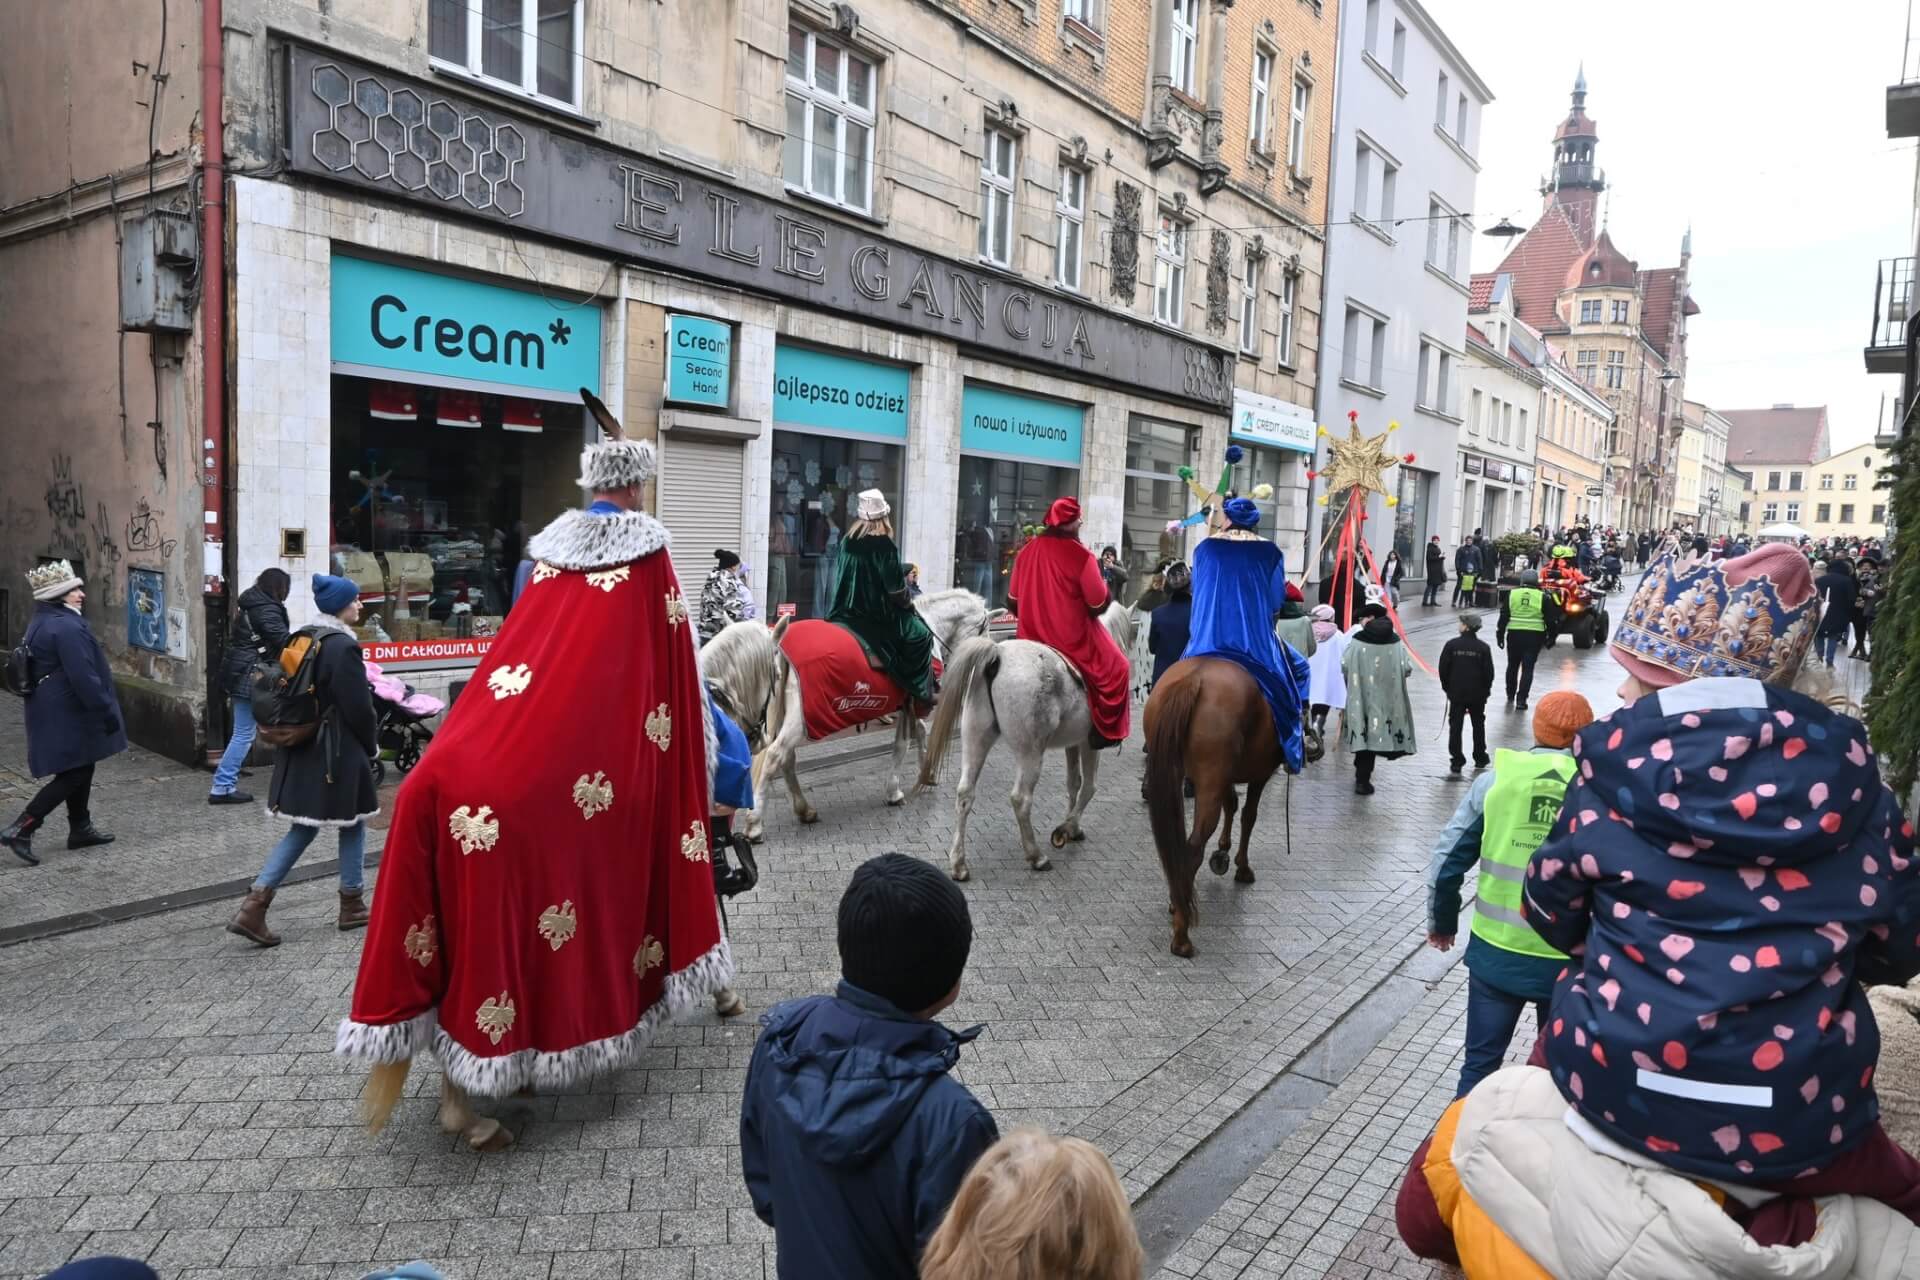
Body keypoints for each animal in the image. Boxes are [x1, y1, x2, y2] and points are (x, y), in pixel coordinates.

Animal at [698, 587, 990, 844]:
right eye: (984, 629)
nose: (984, 665)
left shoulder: (907, 704)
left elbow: (919, 732)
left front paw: (927, 773)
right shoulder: (911, 701)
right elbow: (902, 744)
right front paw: (895, 791)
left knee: (786, 759)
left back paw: (804, 809)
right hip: (798, 720)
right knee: (775, 757)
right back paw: (755, 823)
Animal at [913, 602, 1121, 882]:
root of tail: (997, 653)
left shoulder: (1073, 743)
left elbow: (1073, 783)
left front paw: (1072, 826)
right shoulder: (1089, 743)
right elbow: (1089, 786)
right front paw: (1067, 829)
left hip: (976, 738)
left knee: (965, 793)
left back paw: (958, 864)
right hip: (1030, 752)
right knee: (1021, 799)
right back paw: (1036, 856)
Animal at [1144, 656, 1282, 955]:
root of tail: (1194, 678)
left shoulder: (1224, 778)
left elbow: (1232, 804)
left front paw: (1223, 850)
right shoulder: (1260, 773)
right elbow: (1248, 814)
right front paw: (1241, 865)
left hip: (1175, 769)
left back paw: (1177, 899)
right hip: (1210, 774)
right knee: (1193, 848)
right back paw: (1182, 935)